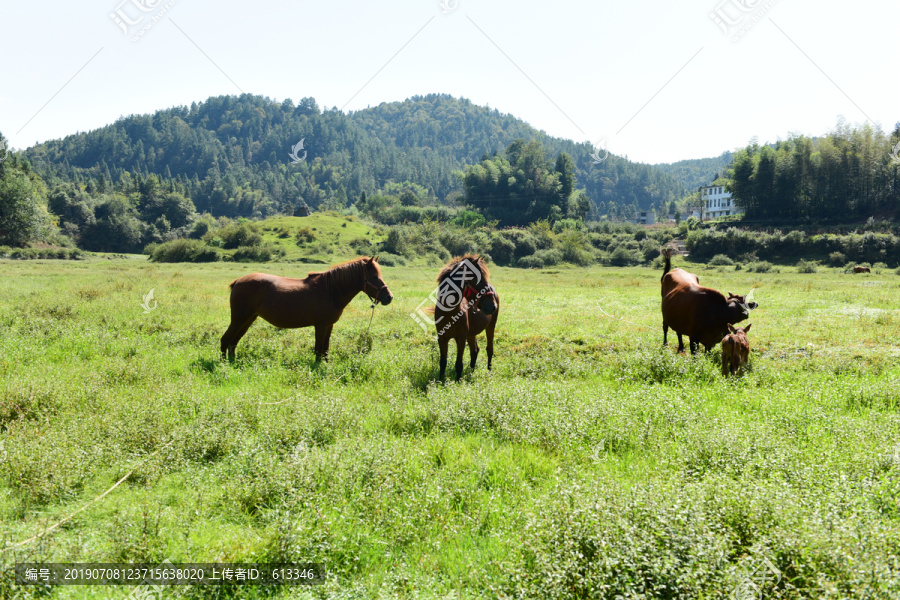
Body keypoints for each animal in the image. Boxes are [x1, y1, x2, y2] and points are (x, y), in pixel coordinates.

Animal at [221, 256, 392, 362]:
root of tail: (238, 281)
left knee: (233, 342)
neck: (330, 290)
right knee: (225, 340)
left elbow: (325, 349)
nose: (389, 297)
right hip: (239, 319)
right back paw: (223, 365)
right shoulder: (320, 326)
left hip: (248, 319)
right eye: (375, 277)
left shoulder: (329, 326)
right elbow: (318, 349)